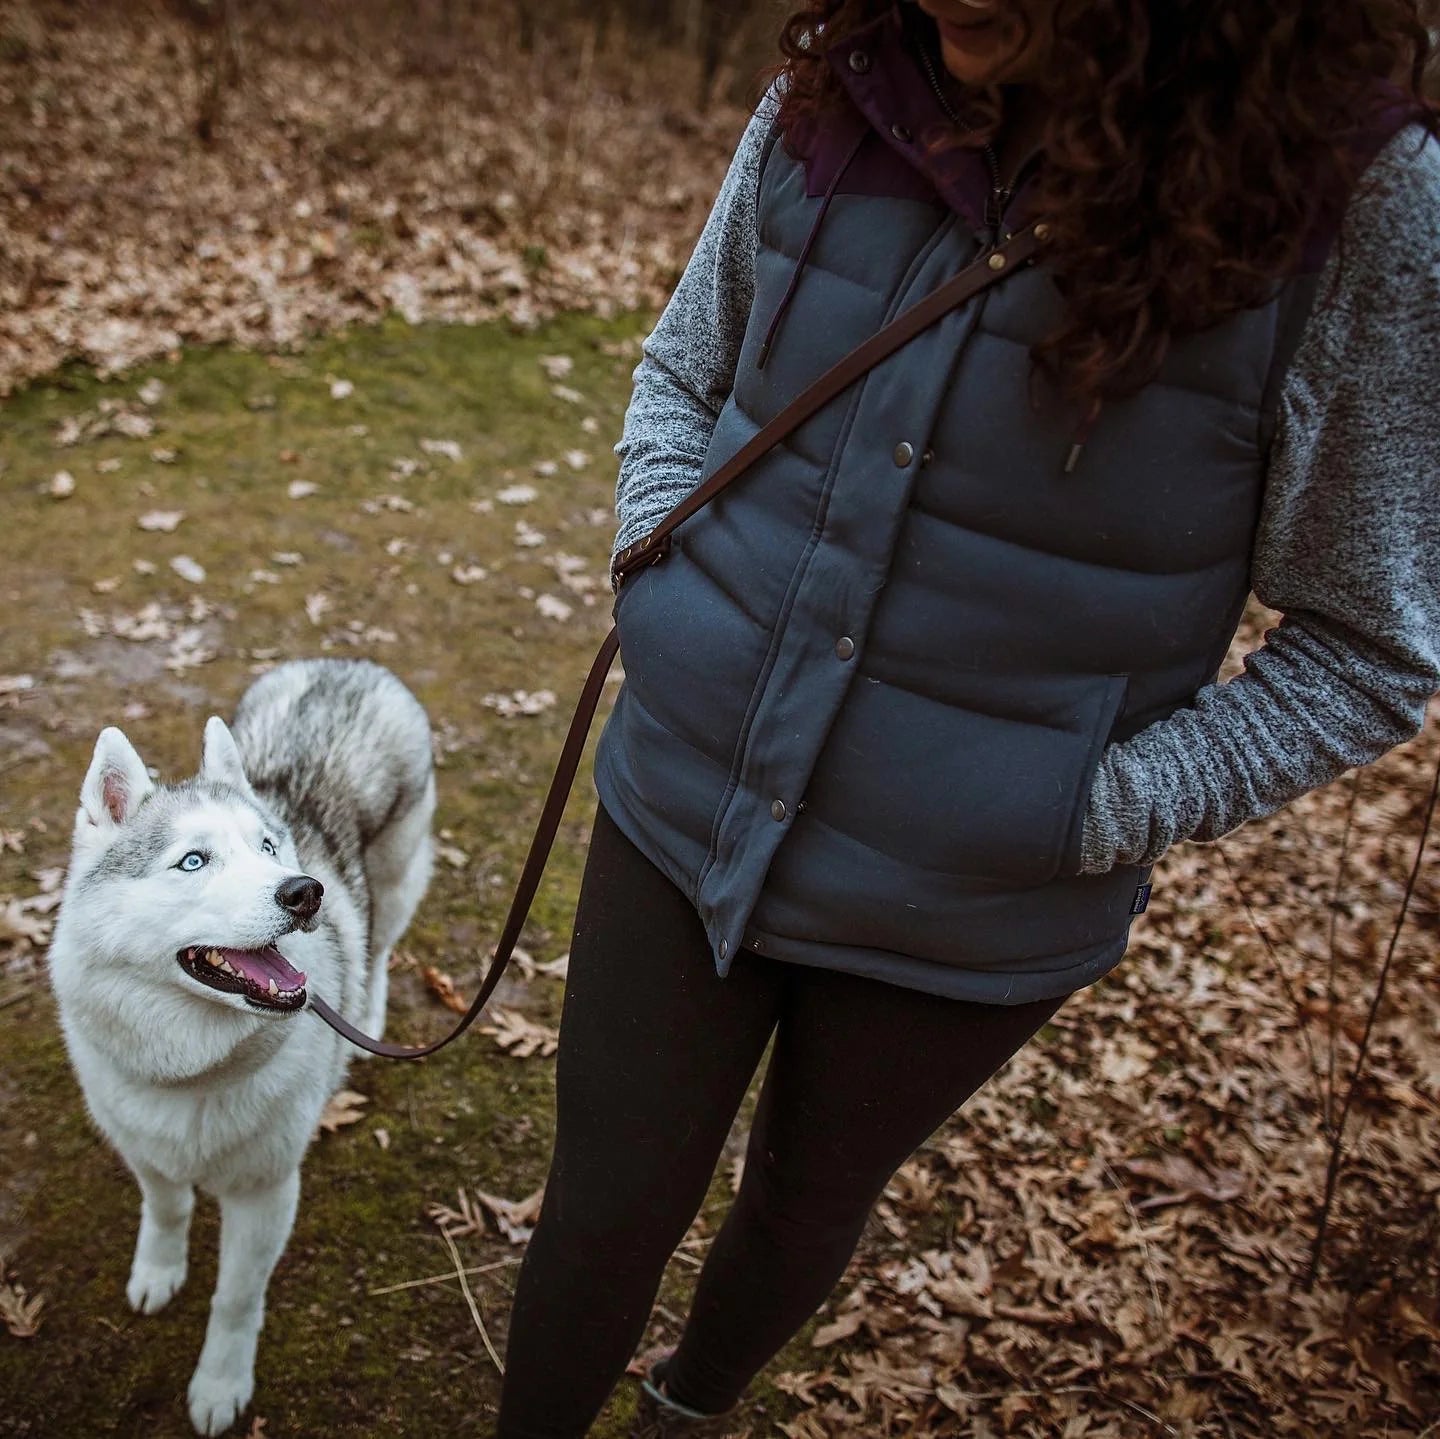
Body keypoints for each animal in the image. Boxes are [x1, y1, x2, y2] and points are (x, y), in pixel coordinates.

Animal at [47, 659, 434, 1434]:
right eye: (193, 861)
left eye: (267, 848)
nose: (304, 891)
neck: (193, 1072)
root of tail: (349, 663)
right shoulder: (143, 1149)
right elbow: (166, 1211)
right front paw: (158, 1271)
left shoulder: (265, 1191)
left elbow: (234, 1298)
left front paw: (220, 1383)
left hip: (398, 877)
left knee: (380, 946)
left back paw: (368, 1017)